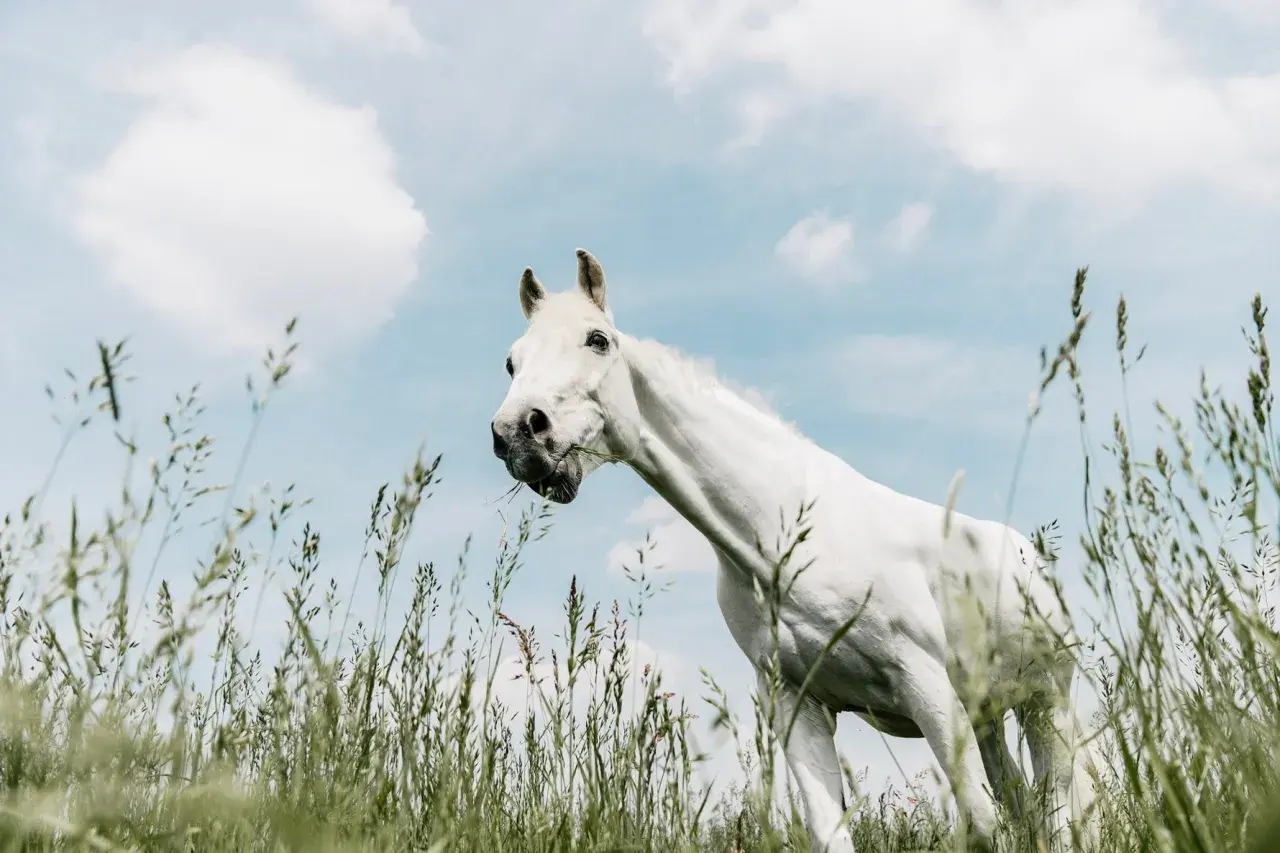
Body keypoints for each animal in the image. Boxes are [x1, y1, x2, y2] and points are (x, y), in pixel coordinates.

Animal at [488, 248, 1099, 852]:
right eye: (512, 362)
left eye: (598, 340)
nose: (518, 433)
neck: (784, 534)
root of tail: (1027, 554)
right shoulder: (797, 706)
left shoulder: (926, 687)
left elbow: (982, 823)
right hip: (989, 715)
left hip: (1045, 705)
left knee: (1054, 811)